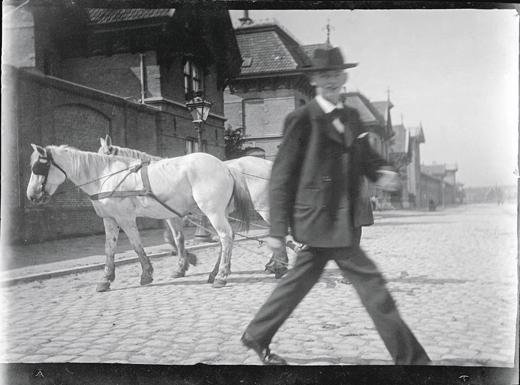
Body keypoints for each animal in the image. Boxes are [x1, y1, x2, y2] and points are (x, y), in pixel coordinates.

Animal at [25, 144, 254, 288]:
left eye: (39, 167)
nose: (31, 196)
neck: (104, 176)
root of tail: (225, 166)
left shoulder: (126, 219)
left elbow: (136, 245)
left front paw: (146, 273)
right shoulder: (110, 219)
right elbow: (109, 248)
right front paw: (106, 279)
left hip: (212, 211)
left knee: (225, 237)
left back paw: (221, 276)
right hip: (217, 212)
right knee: (225, 239)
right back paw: (215, 273)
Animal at [99, 136, 290, 278]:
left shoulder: (173, 215)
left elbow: (176, 238)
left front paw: (186, 262)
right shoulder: (174, 214)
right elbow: (174, 237)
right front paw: (186, 262)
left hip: (263, 208)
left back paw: (278, 266)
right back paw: (274, 264)